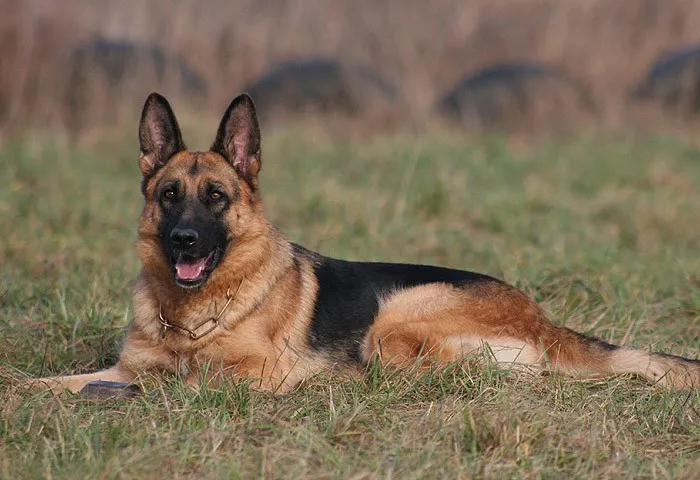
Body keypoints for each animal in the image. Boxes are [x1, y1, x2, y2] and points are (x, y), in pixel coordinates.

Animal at [30, 93, 696, 394]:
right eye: (169, 195)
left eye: (215, 196)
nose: (185, 240)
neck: (191, 316)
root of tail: (542, 318)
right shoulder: (123, 363)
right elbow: (61, 382)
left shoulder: (253, 371)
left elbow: (170, 382)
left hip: (392, 325)